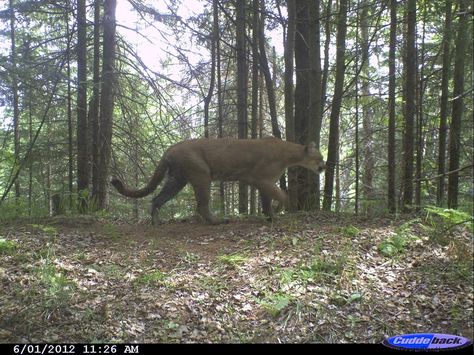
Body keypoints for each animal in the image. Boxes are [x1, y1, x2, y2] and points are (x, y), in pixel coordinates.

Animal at [112, 138, 326, 224]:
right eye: (319, 157)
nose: (324, 166)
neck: (289, 154)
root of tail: (169, 149)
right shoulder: (259, 179)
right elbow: (281, 194)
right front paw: (286, 208)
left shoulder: (265, 182)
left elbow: (268, 200)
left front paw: (271, 216)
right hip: (202, 175)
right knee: (201, 205)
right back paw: (218, 221)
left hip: (177, 180)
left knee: (157, 198)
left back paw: (156, 222)